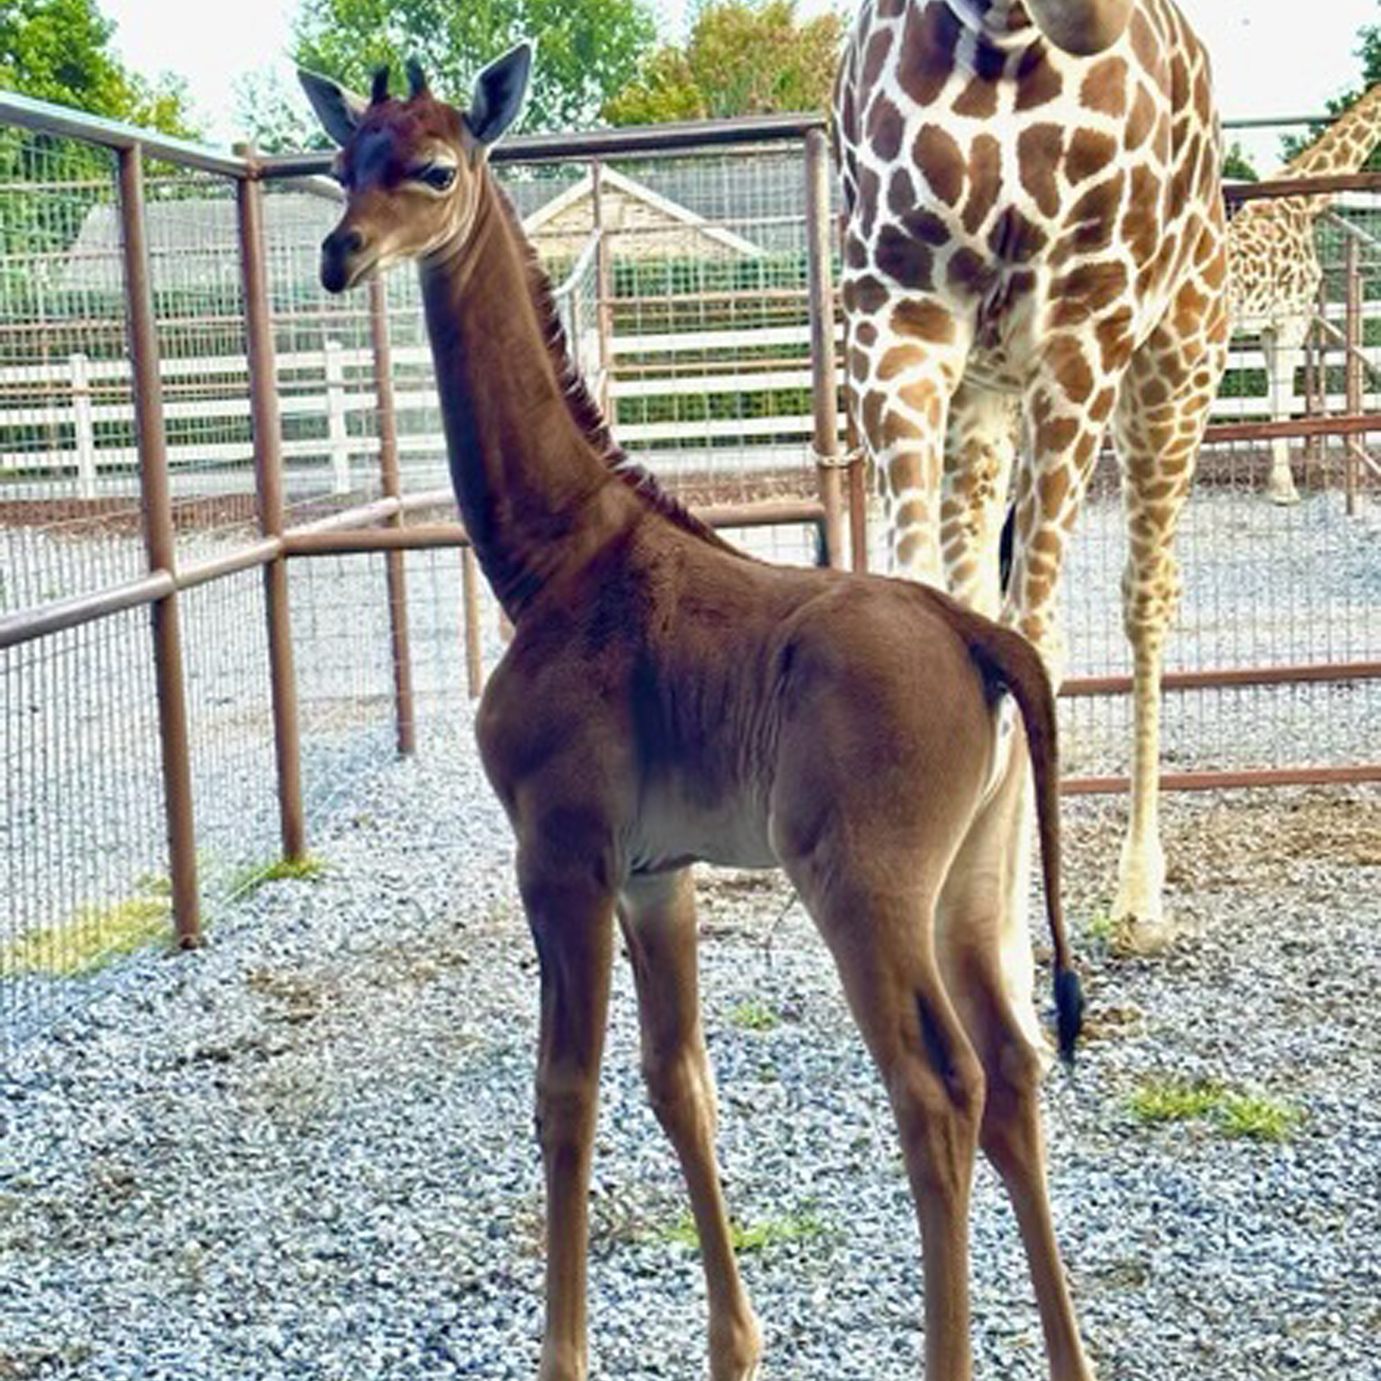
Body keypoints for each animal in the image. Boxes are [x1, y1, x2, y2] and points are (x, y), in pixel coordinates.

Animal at [302, 43, 1094, 1381]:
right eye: (341, 160)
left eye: (433, 168)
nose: (339, 252)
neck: (552, 559)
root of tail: (980, 638)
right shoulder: (654, 872)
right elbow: (682, 1082)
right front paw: (735, 1344)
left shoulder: (560, 852)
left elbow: (564, 1092)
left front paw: (563, 1353)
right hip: (973, 882)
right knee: (1015, 1070)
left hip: (864, 883)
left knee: (938, 1090)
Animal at [833, 0, 1229, 941]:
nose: (1089, 15)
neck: (1003, 42)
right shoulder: (895, 318)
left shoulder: (1082, 329)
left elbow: (1037, 645)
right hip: (982, 399)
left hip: (1178, 363)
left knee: (1146, 596)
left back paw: (1138, 894)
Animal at [1228, 79, 1381, 505]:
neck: (1303, 201)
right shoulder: (1293, 318)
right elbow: (1282, 400)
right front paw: (1284, 489)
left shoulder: (1269, 326)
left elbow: (1273, 398)